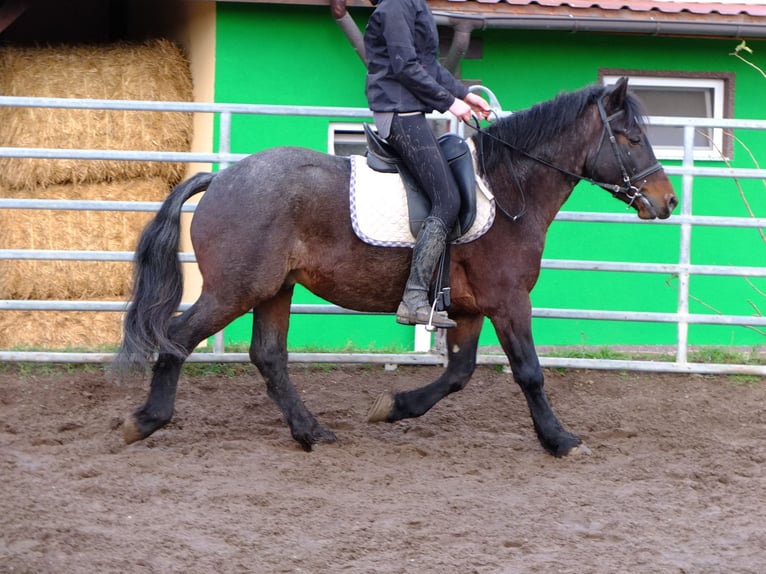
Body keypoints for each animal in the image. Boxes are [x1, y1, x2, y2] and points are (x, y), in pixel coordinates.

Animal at [115, 79, 680, 460]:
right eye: (631, 138)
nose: (668, 201)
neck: (508, 187)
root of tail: (221, 179)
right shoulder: (508, 300)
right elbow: (529, 372)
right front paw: (560, 439)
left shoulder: (469, 309)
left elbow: (458, 373)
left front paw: (393, 406)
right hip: (236, 289)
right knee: (178, 338)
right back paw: (145, 421)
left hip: (274, 289)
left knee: (268, 356)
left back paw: (311, 432)